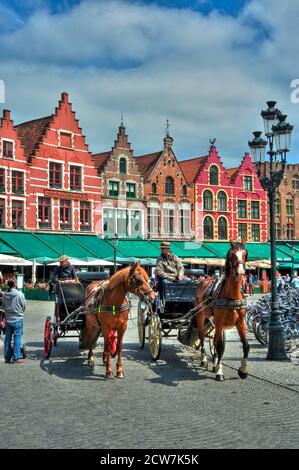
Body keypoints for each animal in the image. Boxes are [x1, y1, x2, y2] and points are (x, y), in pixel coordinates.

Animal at [197, 241, 251, 380]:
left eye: (245, 253)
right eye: (232, 254)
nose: (240, 273)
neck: (232, 296)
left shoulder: (240, 322)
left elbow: (246, 345)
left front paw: (243, 370)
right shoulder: (220, 322)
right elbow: (220, 346)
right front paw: (220, 372)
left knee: (214, 340)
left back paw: (215, 363)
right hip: (201, 316)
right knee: (202, 337)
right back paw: (204, 360)